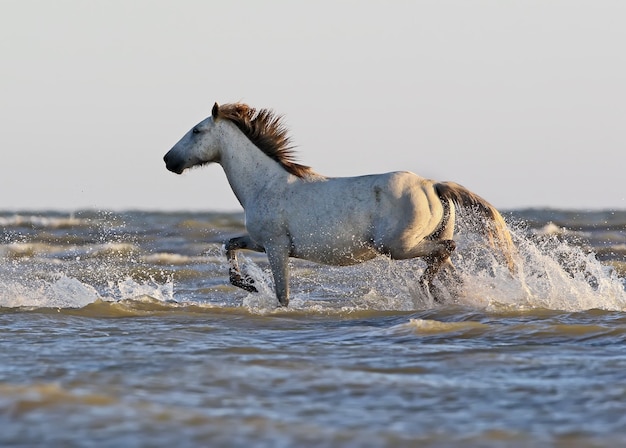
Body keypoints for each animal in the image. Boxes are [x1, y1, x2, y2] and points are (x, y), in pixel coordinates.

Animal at [163, 102, 516, 306]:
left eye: (197, 130)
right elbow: (229, 244)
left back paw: (425, 290)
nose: (168, 160)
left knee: (446, 251)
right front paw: (246, 284)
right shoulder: (260, 242)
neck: (264, 185)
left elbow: (282, 295)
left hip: (396, 246)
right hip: (419, 243)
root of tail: (431, 185)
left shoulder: (276, 247)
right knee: (448, 265)